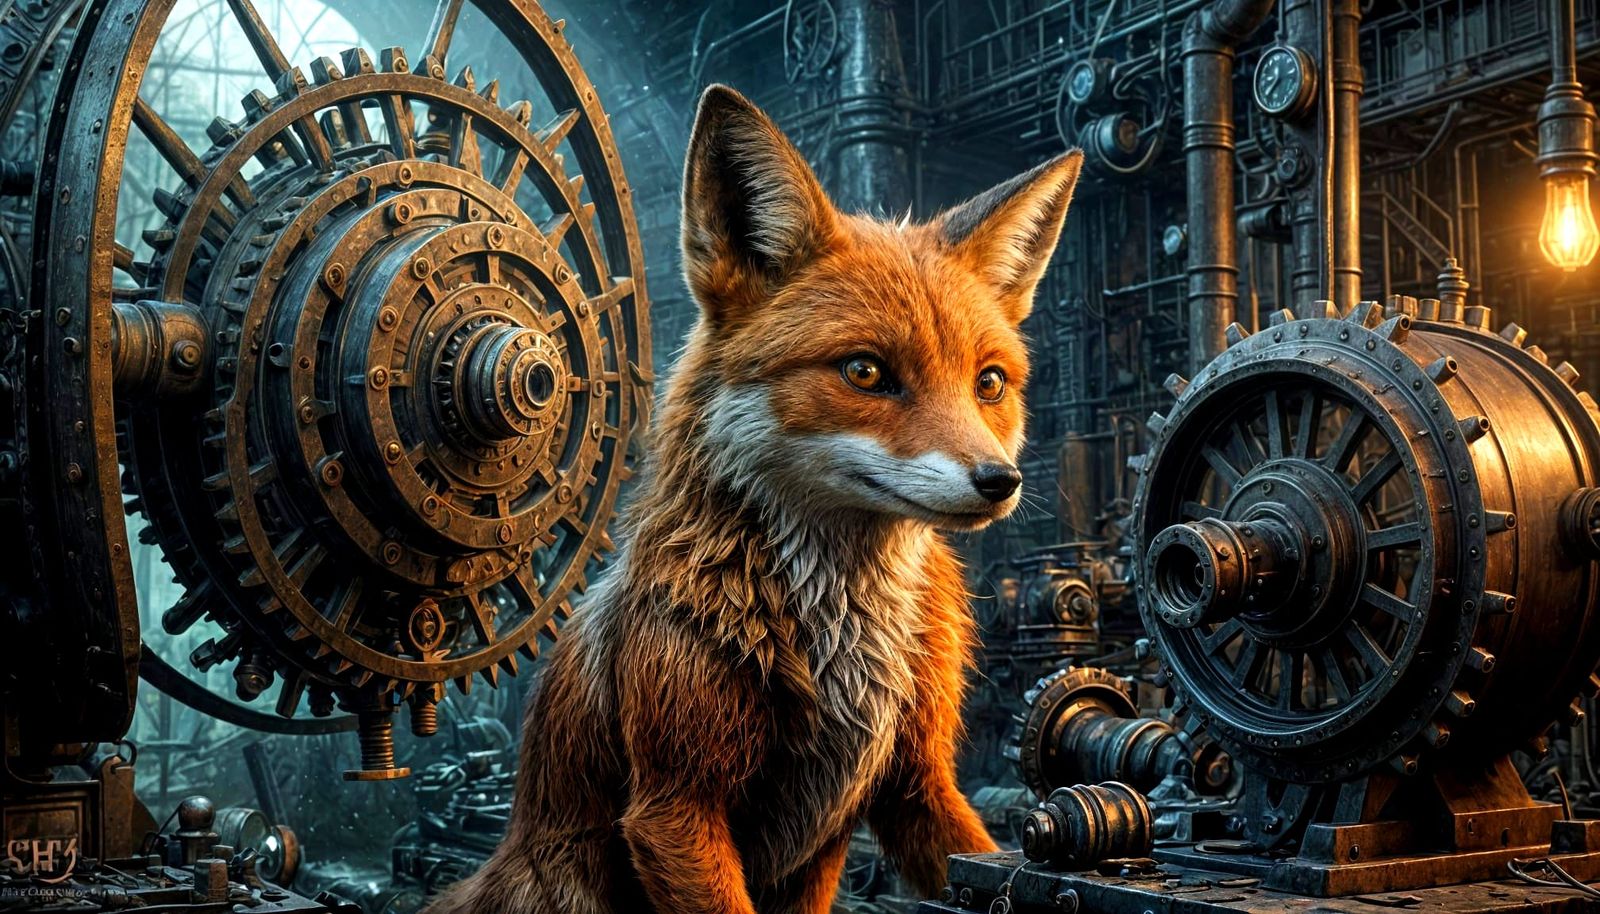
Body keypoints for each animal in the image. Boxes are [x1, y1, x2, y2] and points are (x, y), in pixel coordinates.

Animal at [423, 84, 1082, 914]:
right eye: (865, 372)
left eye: (989, 382)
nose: (999, 481)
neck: (843, 638)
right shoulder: (676, 806)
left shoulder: (917, 783)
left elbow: (980, 858)